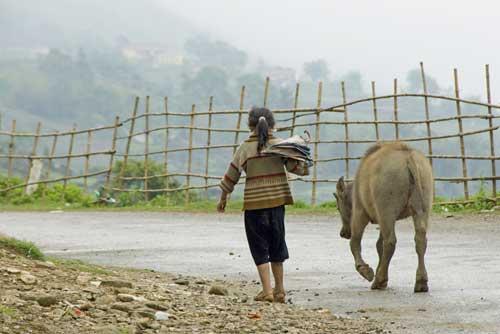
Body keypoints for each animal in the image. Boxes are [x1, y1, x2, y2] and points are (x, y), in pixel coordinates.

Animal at [336, 142, 434, 290]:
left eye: (338, 207)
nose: (343, 233)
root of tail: (408, 156)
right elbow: (378, 245)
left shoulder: (360, 212)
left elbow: (355, 242)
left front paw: (367, 271)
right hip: (421, 208)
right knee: (420, 240)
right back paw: (421, 282)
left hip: (386, 211)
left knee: (390, 242)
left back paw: (379, 280)